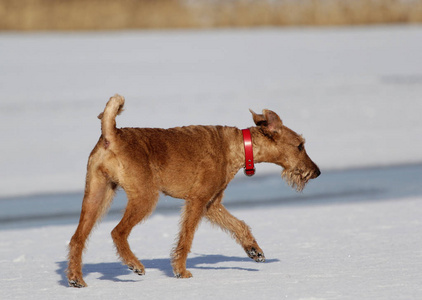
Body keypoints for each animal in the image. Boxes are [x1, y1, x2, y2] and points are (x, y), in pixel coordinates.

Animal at [67, 95, 322, 288]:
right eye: (300, 145)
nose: (317, 172)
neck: (238, 146)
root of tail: (112, 134)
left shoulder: (212, 204)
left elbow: (239, 225)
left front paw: (254, 250)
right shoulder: (197, 200)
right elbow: (186, 238)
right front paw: (181, 272)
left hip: (96, 196)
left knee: (77, 238)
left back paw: (76, 279)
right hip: (145, 197)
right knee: (117, 232)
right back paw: (134, 265)